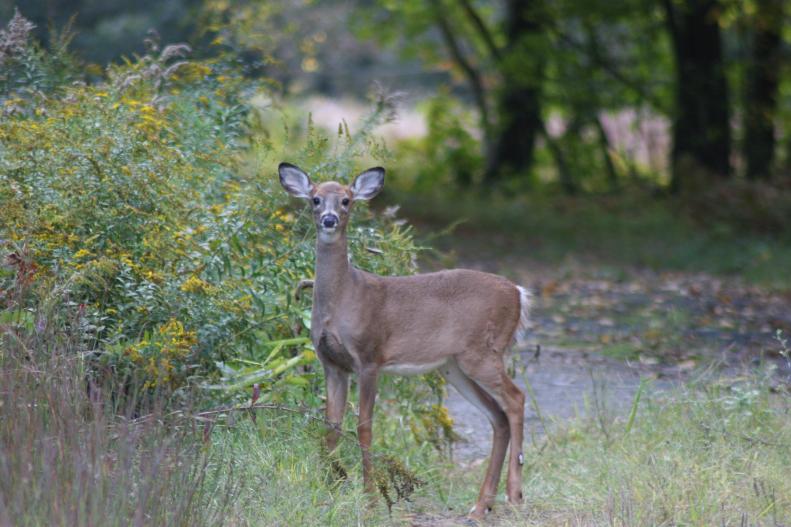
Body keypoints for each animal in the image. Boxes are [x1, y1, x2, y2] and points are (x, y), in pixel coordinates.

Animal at [278, 163, 532, 516]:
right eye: (315, 199)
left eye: (346, 200)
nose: (329, 219)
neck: (343, 299)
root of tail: (519, 293)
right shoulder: (331, 363)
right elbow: (331, 426)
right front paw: (328, 489)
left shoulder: (370, 357)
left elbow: (365, 426)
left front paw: (370, 498)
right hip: (454, 366)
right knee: (498, 416)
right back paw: (480, 506)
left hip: (483, 351)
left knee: (516, 399)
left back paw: (514, 495)